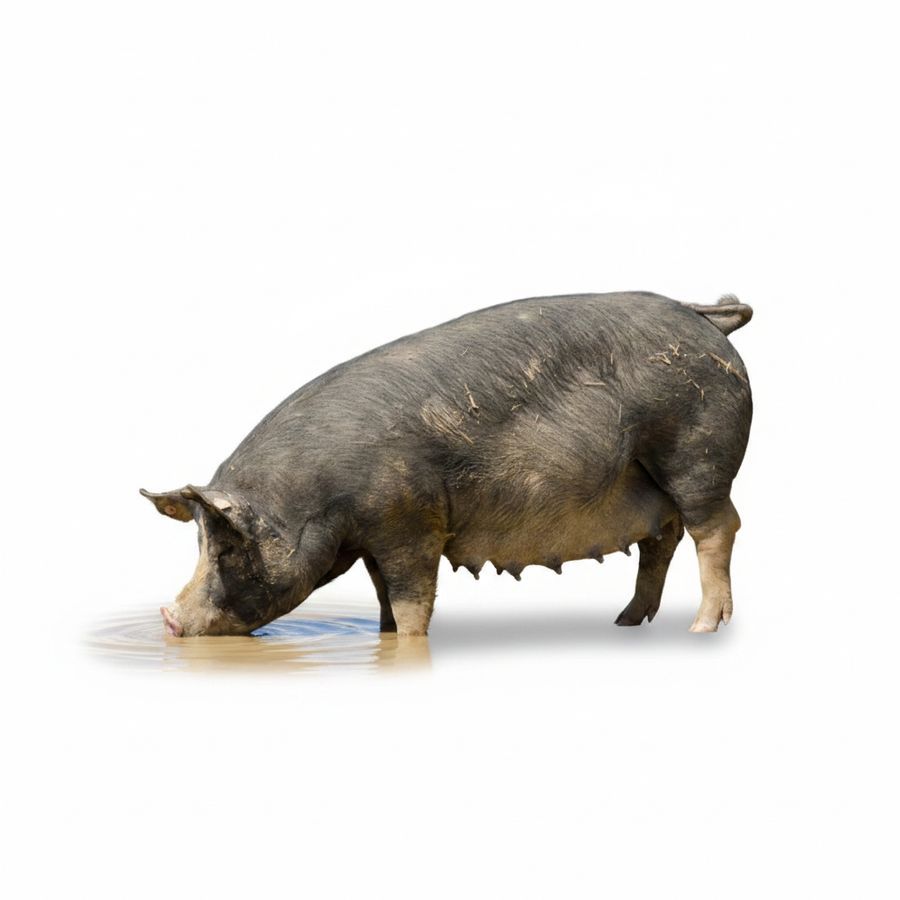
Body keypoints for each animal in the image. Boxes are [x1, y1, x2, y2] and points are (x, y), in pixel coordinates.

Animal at [142, 291, 752, 637]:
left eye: (227, 547)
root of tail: (703, 317)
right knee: (663, 540)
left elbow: (412, 598)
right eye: (200, 541)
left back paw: (702, 628)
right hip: (650, 479)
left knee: (718, 527)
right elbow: (383, 597)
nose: (169, 618)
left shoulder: (410, 525)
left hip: (697, 453)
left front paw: (408, 645)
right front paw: (383, 637)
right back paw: (626, 621)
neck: (319, 497)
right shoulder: (373, 542)